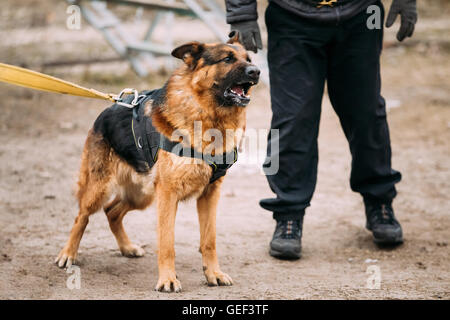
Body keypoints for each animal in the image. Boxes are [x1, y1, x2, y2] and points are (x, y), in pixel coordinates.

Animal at [55, 33, 260, 292]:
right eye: (227, 59)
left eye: (248, 59)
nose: (257, 71)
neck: (208, 115)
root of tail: (110, 107)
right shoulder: (168, 194)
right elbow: (166, 242)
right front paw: (168, 279)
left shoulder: (209, 195)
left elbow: (209, 240)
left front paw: (213, 273)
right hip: (101, 189)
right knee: (82, 216)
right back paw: (68, 253)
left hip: (142, 195)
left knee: (112, 211)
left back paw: (127, 247)